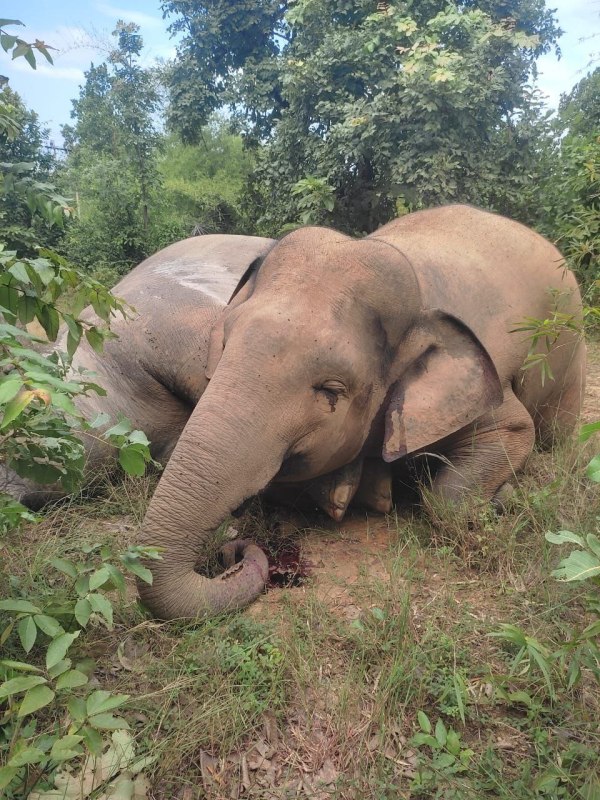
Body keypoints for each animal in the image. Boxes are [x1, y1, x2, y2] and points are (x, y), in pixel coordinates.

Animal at [6, 205, 586, 621]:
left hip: (569, 341)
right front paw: (352, 490)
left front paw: (503, 500)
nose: (232, 552)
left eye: (332, 389)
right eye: (225, 345)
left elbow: (509, 431)